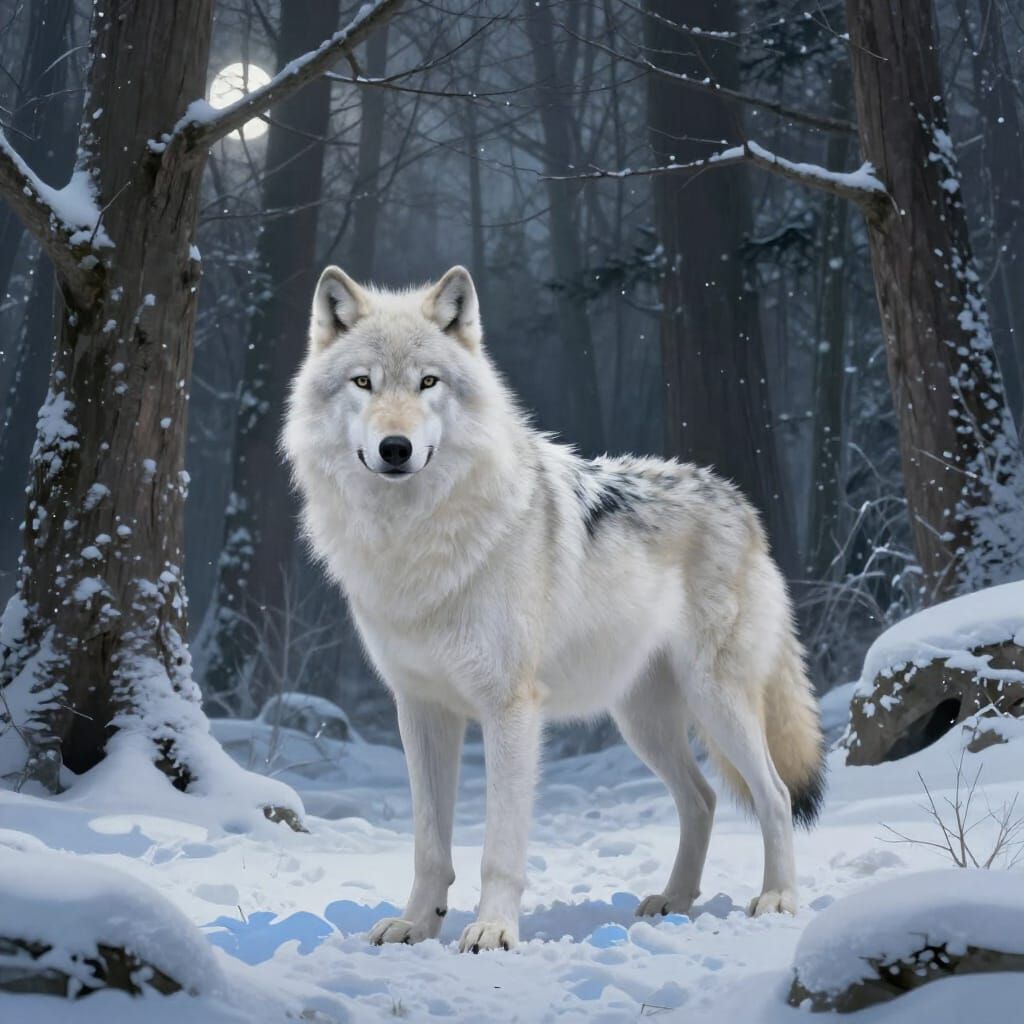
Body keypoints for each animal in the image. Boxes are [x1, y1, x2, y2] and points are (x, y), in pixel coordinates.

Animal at [283, 265, 825, 953]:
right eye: (363, 383)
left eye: (428, 382)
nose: (396, 447)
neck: (415, 543)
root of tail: (739, 501)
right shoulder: (421, 709)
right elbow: (430, 845)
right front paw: (416, 925)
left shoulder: (510, 707)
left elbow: (499, 847)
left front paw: (492, 930)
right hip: (643, 721)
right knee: (701, 798)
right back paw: (673, 901)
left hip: (716, 701)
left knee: (774, 794)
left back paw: (777, 898)